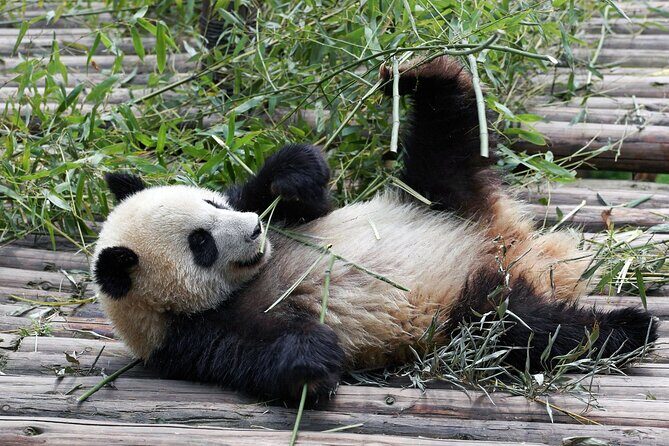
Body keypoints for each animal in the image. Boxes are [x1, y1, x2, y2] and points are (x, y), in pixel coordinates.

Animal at [92, 56, 658, 401]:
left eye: (211, 204)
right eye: (201, 245)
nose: (253, 231)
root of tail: (515, 245)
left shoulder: (276, 216)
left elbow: (299, 198)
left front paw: (292, 177)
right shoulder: (189, 339)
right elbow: (259, 357)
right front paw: (315, 357)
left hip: (441, 198)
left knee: (447, 138)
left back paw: (421, 75)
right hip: (465, 308)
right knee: (522, 326)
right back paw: (628, 327)